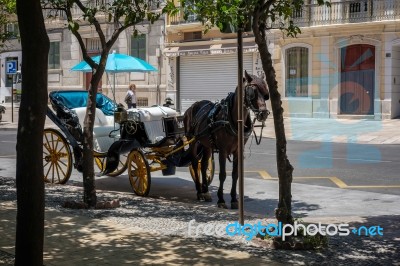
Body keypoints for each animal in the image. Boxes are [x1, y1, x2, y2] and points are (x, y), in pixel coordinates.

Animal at [184, 71, 270, 210]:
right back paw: (199, 192)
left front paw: (234, 199)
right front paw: (221, 200)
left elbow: (235, 174)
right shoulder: (223, 150)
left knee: (203, 165)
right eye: (252, 92)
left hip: (207, 145)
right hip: (192, 141)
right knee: (195, 163)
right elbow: (223, 174)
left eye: (266, 93)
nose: (264, 113)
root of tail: (192, 106)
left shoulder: (238, 150)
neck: (232, 119)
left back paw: (206, 192)